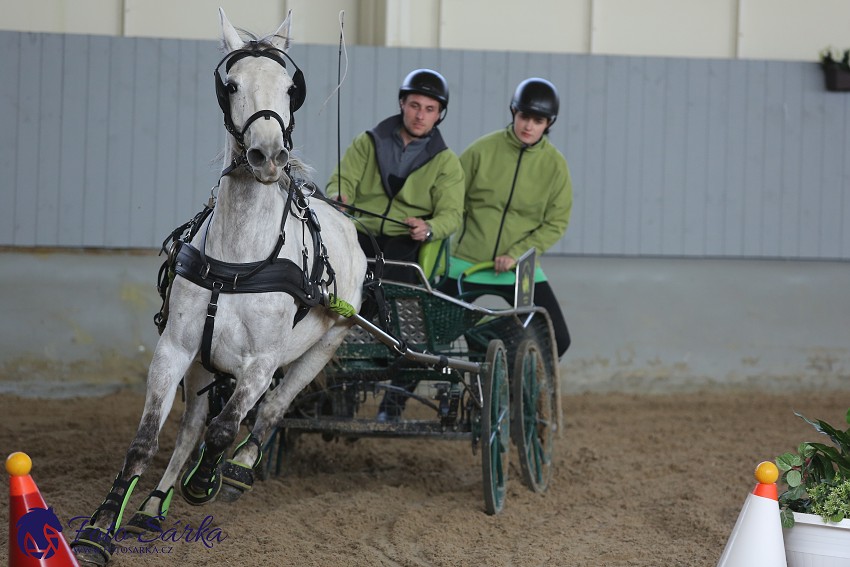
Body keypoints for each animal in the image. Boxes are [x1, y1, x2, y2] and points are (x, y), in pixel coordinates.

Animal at [73, 7, 364, 564]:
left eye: (291, 87)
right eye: (230, 84)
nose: (268, 156)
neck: (239, 263)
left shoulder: (261, 363)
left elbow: (227, 425)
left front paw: (203, 483)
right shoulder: (174, 348)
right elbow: (147, 440)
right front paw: (99, 529)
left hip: (326, 343)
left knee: (273, 407)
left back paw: (239, 468)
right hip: (204, 363)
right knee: (191, 425)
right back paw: (152, 508)